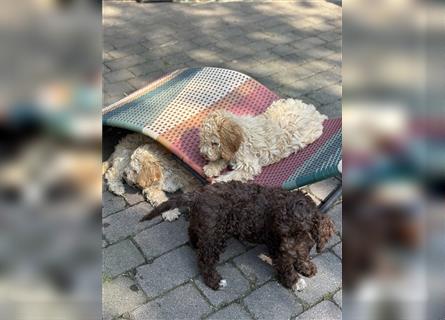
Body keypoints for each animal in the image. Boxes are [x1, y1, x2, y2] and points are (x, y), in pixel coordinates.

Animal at [140, 181, 334, 292]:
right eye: (283, 233)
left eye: (302, 233)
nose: (289, 252)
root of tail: (199, 193)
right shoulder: (276, 244)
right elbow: (285, 263)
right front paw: (294, 281)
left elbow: (302, 253)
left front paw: (305, 265)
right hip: (216, 233)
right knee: (204, 259)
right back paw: (215, 281)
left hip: (205, 224)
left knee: (193, 231)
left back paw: (195, 243)